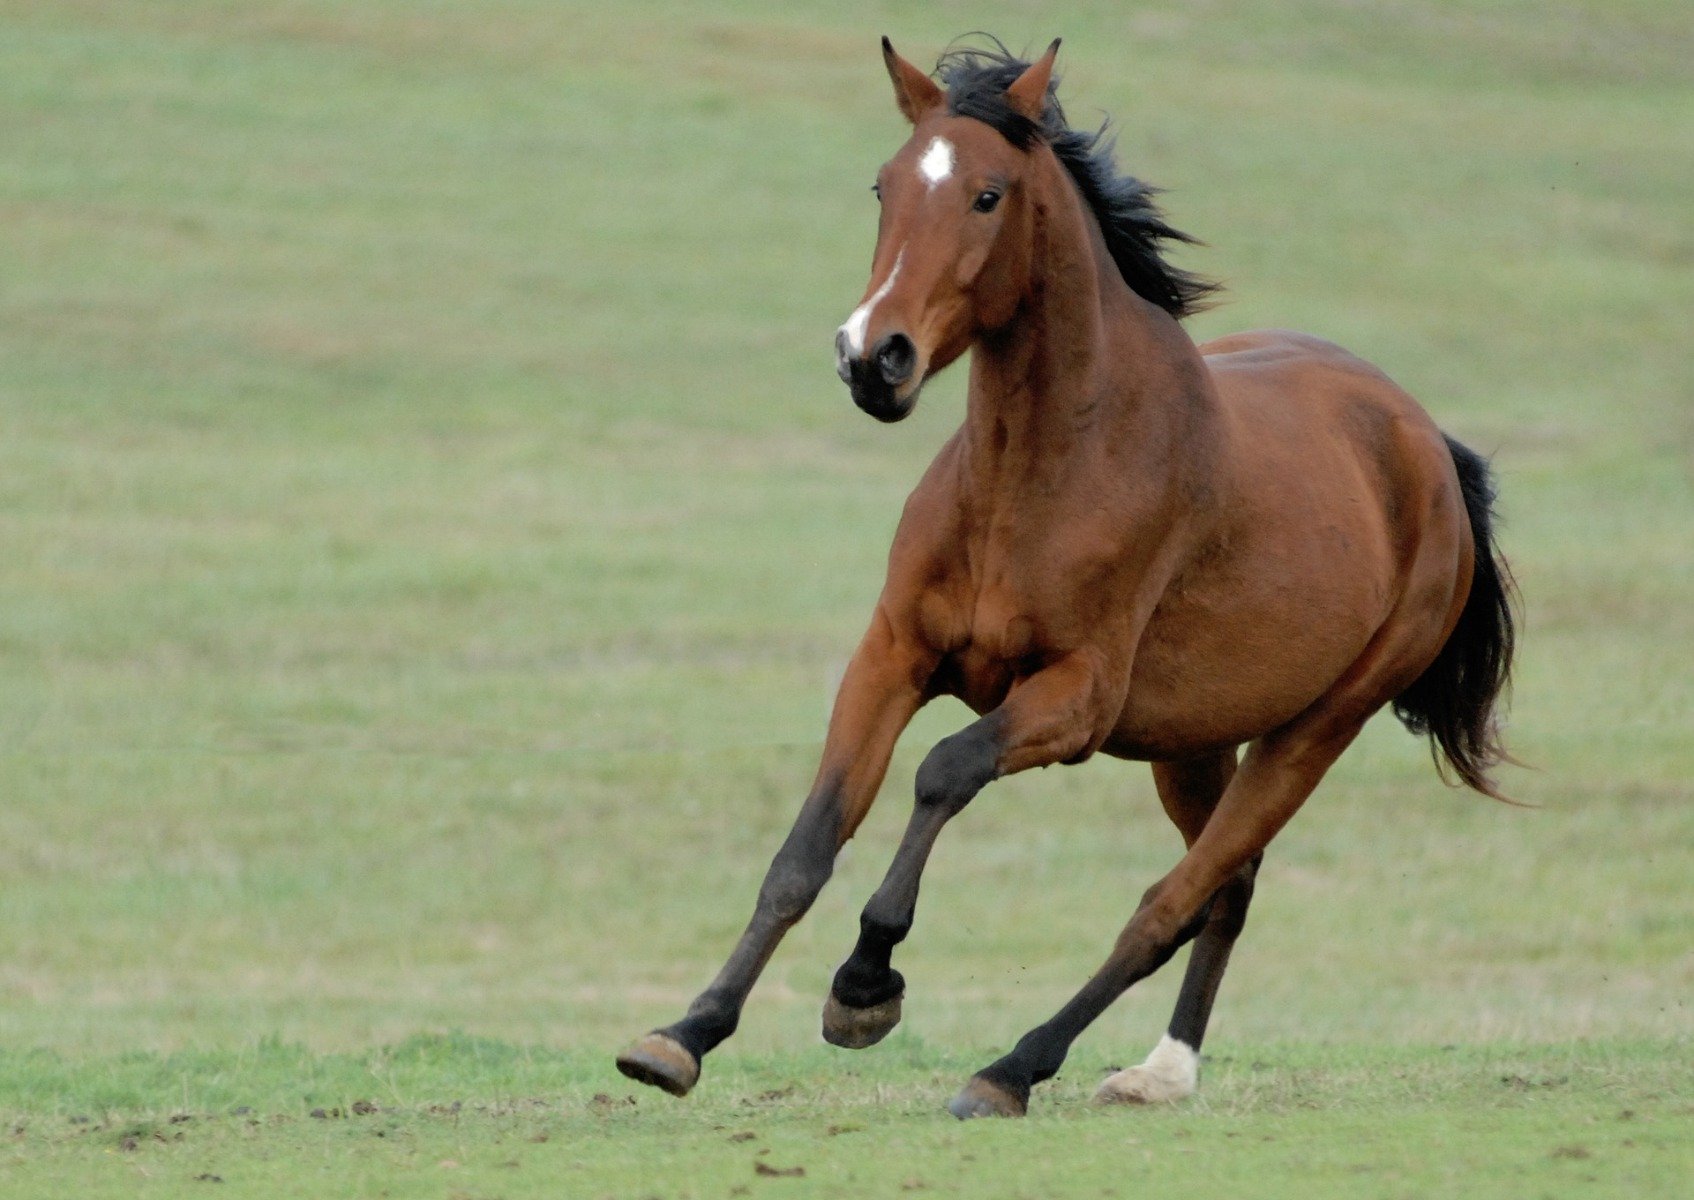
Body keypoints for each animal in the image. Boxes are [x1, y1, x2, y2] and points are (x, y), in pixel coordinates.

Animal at [616, 39, 1517, 1125]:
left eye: (987, 195)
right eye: (883, 185)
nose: (872, 359)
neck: (1035, 475)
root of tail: (1428, 446)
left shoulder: (1074, 700)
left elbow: (944, 771)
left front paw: (865, 986)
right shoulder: (890, 656)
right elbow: (806, 847)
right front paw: (684, 1035)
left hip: (1314, 730)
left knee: (1170, 903)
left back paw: (1012, 1068)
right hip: (1194, 743)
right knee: (1227, 888)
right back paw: (1160, 1071)